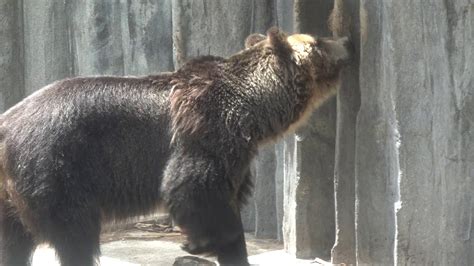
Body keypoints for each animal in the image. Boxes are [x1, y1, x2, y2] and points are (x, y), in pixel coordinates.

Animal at [0, 27, 348, 266]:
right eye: (317, 42)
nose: (346, 42)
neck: (254, 113)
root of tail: (6, 127)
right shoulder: (207, 129)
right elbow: (192, 186)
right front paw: (200, 243)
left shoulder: (237, 160)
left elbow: (227, 202)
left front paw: (231, 252)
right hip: (57, 167)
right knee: (74, 234)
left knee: (15, 241)